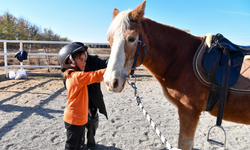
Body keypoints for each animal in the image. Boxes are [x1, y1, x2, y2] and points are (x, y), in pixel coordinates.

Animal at [103, 0, 250, 149]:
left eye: (132, 38)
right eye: (109, 39)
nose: (111, 81)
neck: (183, 59)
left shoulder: (189, 111)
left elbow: (184, 143)